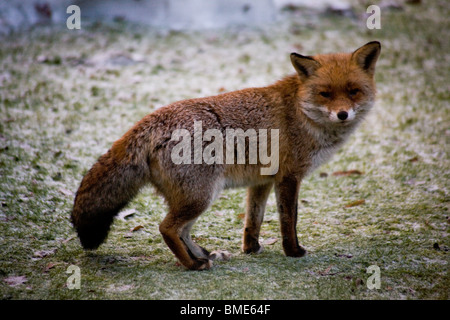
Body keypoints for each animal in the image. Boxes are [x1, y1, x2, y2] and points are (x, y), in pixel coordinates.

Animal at [72, 40, 382, 270]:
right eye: (325, 94)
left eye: (353, 91)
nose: (342, 114)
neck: (301, 112)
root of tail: (154, 119)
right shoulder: (289, 177)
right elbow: (289, 220)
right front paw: (293, 251)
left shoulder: (262, 181)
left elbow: (253, 220)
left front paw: (251, 249)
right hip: (201, 195)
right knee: (167, 228)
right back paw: (192, 265)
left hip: (195, 197)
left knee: (182, 230)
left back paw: (201, 255)